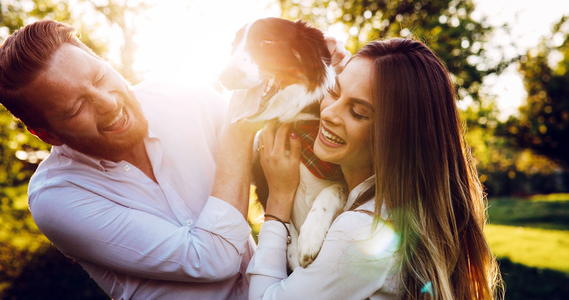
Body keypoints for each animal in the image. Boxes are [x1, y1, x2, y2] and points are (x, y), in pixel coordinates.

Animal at [220, 17, 348, 268]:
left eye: (267, 42)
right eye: (233, 46)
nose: (224, 76)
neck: (295, 124)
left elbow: (333, 189)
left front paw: (311, 236)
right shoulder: (264, 185)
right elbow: (283, 223)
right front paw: (295, 254)